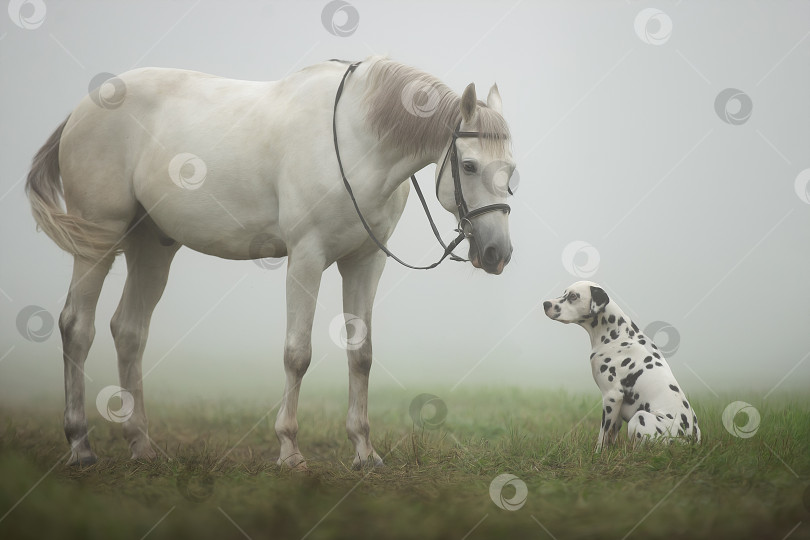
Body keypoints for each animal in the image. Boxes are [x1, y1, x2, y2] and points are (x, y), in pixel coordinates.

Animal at [30, 56, 516, 468]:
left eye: (511, 171)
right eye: (469, 166)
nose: (498, 253)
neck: (357, 142)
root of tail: (82, 110)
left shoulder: (365, 261)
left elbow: (361, 355)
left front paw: (364, 451)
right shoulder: (306, 257)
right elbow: (297, 353)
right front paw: (289, 450)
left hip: (152, 246)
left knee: (129, 331)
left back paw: (142, 445)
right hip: (98, 237)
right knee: (77, 327)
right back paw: (80, 446)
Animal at [548, 280, 696, 450]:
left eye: (573, 296)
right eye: (564, 292)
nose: (546, 304)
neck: (616, 335)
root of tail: (688, 440)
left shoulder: (611, 397)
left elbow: (602, 434)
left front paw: (597, 452)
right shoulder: (617, 408)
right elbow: (611, 434)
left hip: (640, 417)